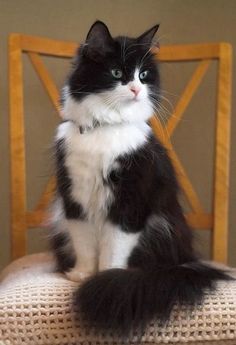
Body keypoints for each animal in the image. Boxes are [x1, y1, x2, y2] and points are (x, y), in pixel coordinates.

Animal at [50, 20, 230, 334]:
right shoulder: (75, 197)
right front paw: (82, 274)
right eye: (117, 73)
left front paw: (106, 278)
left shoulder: (130, 202)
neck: (106, 128)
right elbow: (84, 244)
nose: (136, 89)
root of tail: (183, 263)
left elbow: (113, 247)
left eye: (144, 75)